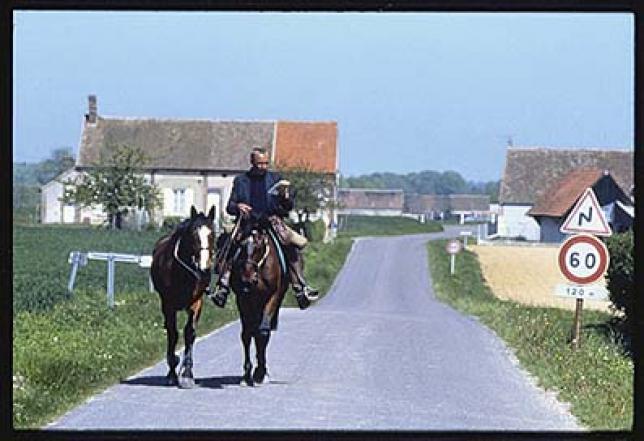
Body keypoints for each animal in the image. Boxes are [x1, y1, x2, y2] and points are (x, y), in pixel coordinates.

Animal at [151, 205, 216, 386]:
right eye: (193, 234)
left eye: (213, 234)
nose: (204, 269)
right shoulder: (168, 305)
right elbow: (173, 333)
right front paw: (173, 372)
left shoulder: (196, 302)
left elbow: (189, 332)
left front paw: (187, 373)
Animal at [221, 215, 292, 386]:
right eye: (240, 244)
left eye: (260, 246)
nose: (247, 279)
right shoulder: (243, 299)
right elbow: (247, 334)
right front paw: (247, 374)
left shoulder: (272, 297)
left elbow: (263, 332)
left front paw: (260, 373)